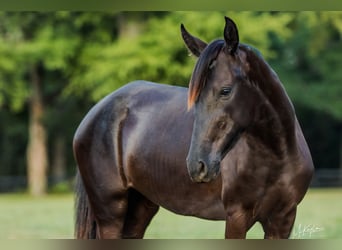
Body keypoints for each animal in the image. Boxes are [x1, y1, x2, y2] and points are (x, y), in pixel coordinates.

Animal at [73, 15, 314, 238]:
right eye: (195, 96)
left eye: (225, 91)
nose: (197, 165)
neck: (275, 156)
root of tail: (96, 112)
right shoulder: (236, 217)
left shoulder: (283, 220)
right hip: (111, 213)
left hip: (140, 207)